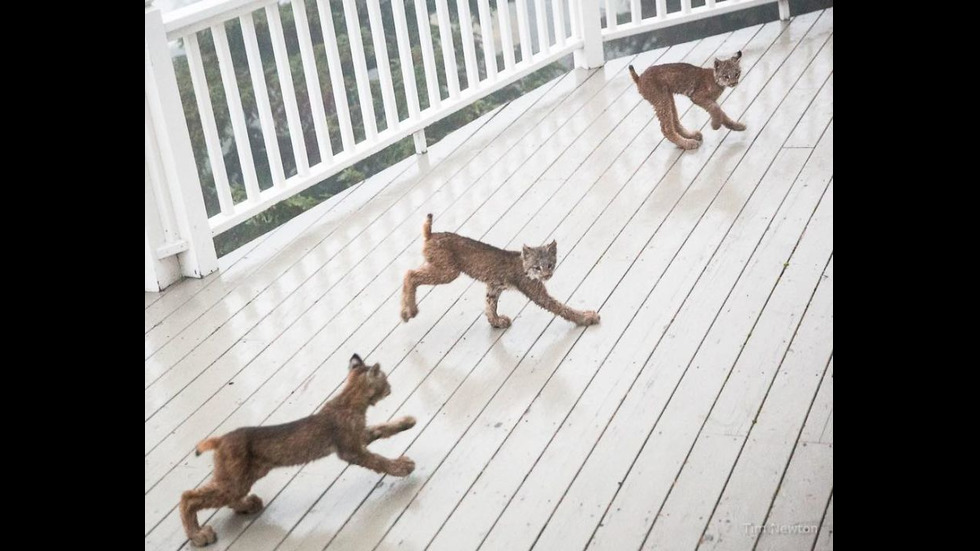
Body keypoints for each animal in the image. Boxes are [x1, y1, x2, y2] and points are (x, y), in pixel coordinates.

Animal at [398, 215, 596, 328]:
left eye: (550, 264)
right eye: (537, 267)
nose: (547, 275)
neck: (524, 266)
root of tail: (432, 234)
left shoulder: (494, 286)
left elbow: (490, 305)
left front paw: (496, 322)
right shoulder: (537, 292)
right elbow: (561, 308)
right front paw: (587, 318)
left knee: (411, 272)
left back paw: (407, 310)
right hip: (449, 272)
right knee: (410, 274)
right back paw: (409, 311)